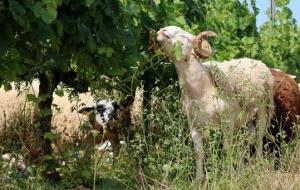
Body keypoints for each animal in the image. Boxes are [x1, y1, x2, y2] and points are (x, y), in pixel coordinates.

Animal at [157, 26, 274, 180]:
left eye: (186, 37)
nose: (162, 31)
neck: (201, 88)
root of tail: (260, 63)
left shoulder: (228, 121)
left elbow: (226, 147)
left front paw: (229, 175)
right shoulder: (194, 125)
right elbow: (198, 153)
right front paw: (198, 180)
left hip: (262, 109)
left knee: (259, 137)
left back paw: (258, 166)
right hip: (246, 118)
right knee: (248, 137)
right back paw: (243, 169)